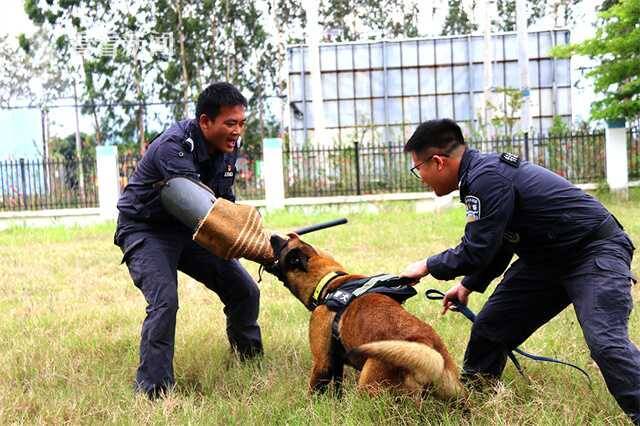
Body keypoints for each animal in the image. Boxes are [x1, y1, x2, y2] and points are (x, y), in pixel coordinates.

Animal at [266, 233, 464, 400]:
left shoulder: (322, 364)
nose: (272, 235)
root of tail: (423, 343)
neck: (329, 283)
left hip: (368, 386)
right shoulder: (336, 363)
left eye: (284, 244)